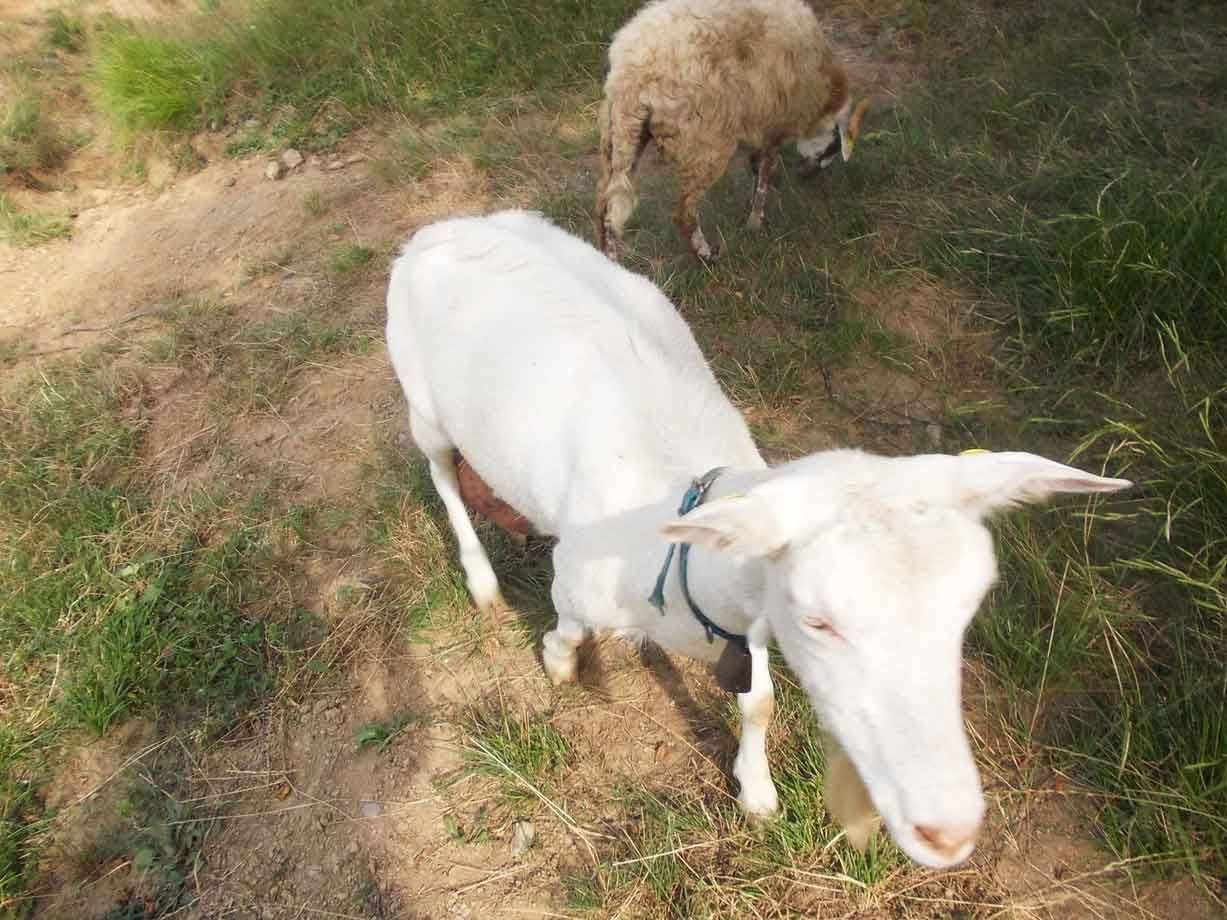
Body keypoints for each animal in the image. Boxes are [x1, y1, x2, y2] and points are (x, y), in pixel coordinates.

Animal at [384, 209, 1130, 867]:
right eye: (819, 619)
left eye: (969, 608)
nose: (948, 834)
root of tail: (444, 226)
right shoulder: (577, 574)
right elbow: (567, 623)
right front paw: (560, 663)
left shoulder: (751, 623)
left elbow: (760, 702)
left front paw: (758, 795)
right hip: (422, 404)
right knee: (442, 477)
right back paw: (481, 578)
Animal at [596, 0, 870, 261]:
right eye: (835, 145)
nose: (808, 175)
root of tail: (633, 74)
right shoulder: (774, 118)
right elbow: (765, 169)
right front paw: (755, 221)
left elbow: (758, 164)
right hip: (704, 144)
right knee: (683, 214)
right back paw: (707, 255)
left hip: (621, 135)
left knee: (606, 210)